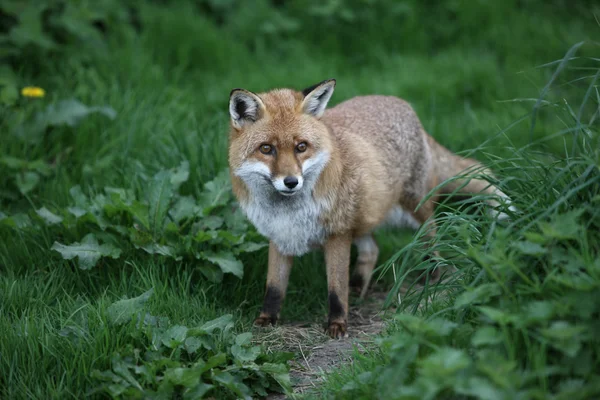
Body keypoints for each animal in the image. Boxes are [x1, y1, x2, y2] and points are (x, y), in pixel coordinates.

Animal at [226, 78, 516, 338]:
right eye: (266, 149)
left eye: (301, 147)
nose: (290, 182)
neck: (288, 211)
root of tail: (403, 105)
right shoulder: (280, 237)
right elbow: (274, 288)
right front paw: (266, 320)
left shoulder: (337, 234)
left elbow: (336, 288)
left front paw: (338, 324)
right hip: (362, 218)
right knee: (372, 249)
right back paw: (358, 287)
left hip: (414, 211)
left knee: (432, 238)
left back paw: (433, 275)